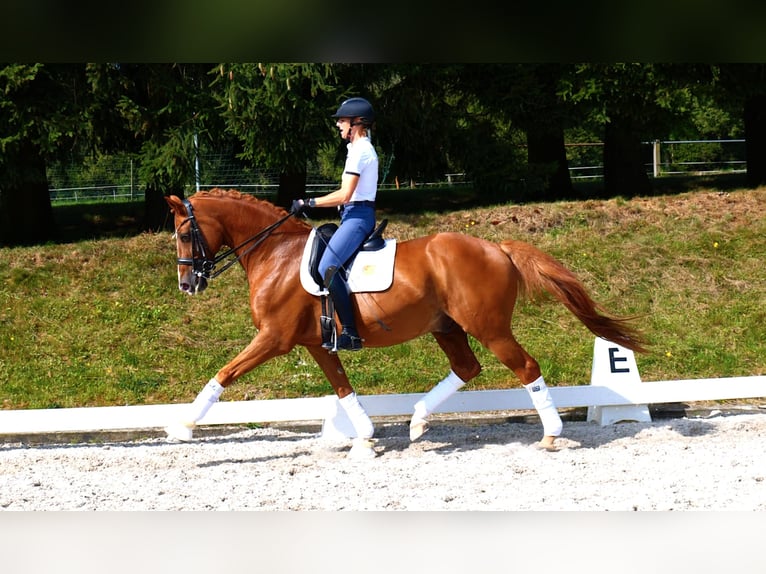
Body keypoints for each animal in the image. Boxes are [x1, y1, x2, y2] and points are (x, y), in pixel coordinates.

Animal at [165, 191, 644, 456]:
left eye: (185, 234)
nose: (188, 284)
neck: (274, 253)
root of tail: (499, 248)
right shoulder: (316, 344)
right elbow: (343, 388)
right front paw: (365, 437)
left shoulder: (274, 337)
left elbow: (224, 374)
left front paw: (183, 428)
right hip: (446, 326)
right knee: (467, 368)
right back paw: (417, 420)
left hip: (489, 328)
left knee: (525, 367)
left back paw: (550, 435)